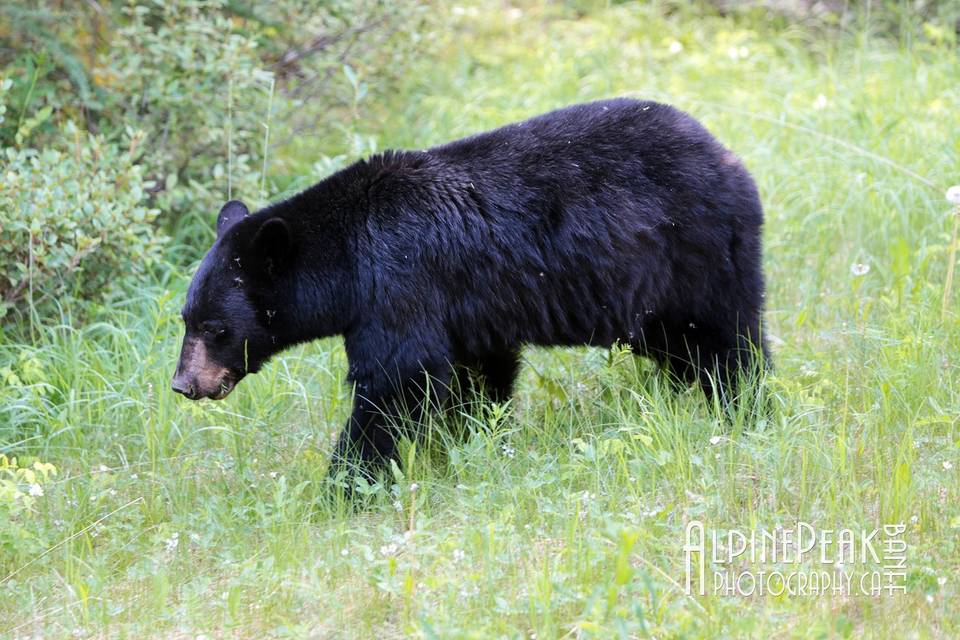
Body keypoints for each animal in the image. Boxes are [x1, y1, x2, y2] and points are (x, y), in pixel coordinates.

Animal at [172, 96, 768, 476]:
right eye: (187, 320)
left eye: (216, 327)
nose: (184, 384)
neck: (347, 259)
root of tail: (728, 154)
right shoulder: (468, 308)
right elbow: (477, 374)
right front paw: (471, 442)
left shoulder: (400, 281)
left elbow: (398, 380)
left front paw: (345, 485)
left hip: (692, 250)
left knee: (723, 338)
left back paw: (741, 405)